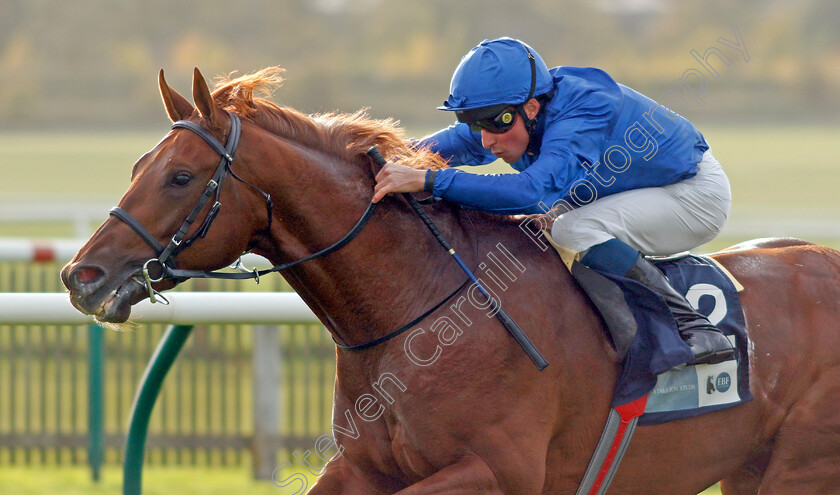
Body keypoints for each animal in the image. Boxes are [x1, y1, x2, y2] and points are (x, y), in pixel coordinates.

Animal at [62, 68, 840, 494]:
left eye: (180, 176)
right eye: (137, 166)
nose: (81, 275)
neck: (417, 314)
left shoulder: (499, 470)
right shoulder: (364, 468)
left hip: (800, 466)